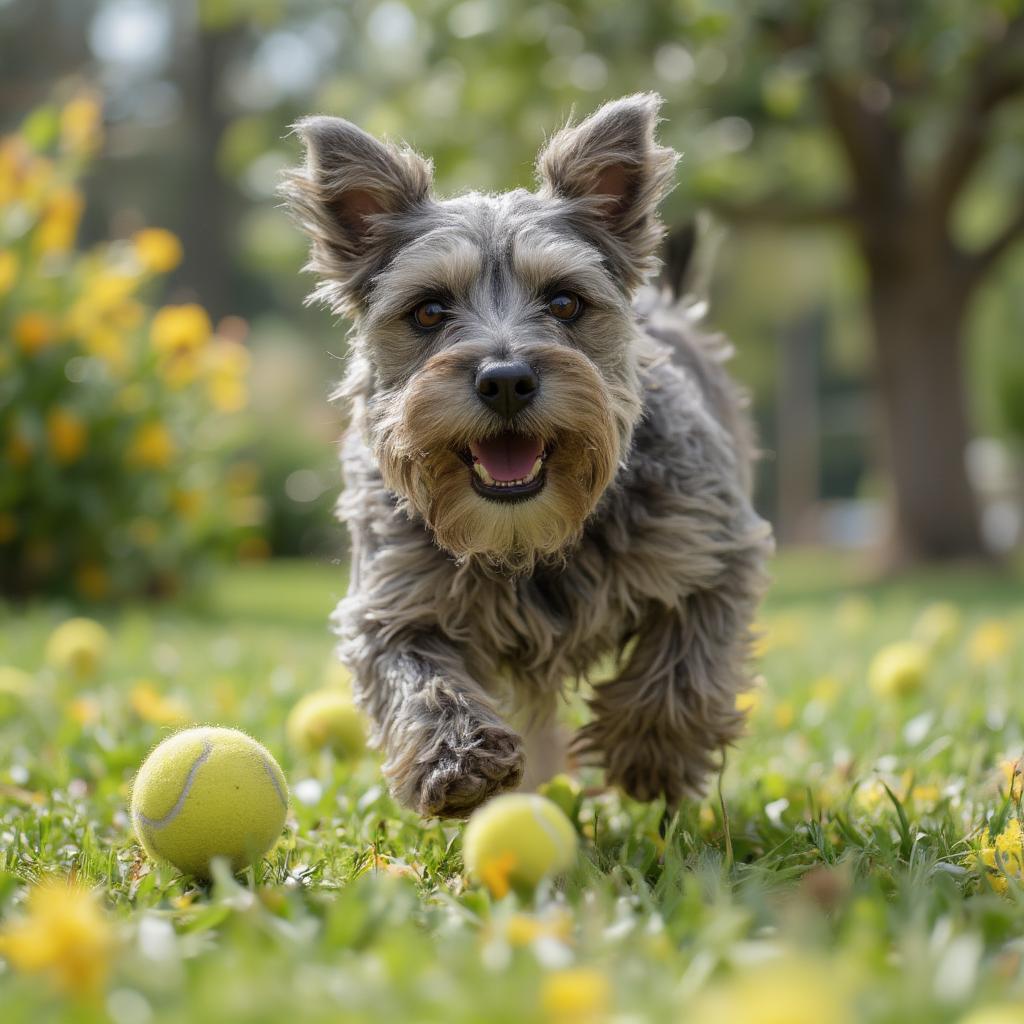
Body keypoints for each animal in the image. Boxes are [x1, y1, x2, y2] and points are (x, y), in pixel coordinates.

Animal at [284, 92, 770, 819]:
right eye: (428, 311)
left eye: (565, 301)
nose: (505, 379)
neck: (525, 538)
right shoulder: (392, 602)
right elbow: (417, 676)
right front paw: (456, 760)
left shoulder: (714, 551)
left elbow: (684, 662)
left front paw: (651, 753)